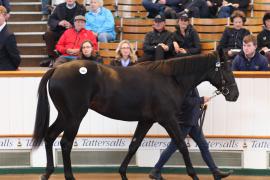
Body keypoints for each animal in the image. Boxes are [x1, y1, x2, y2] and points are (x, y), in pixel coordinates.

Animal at [31, 51, 238, 180]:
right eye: (226, 69)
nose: (235, 95)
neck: (170, 79)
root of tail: (57, 69)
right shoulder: (167, 119)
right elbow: (181, 145)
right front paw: (193, 174)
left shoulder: (146, 120)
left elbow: (134, 145)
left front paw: (122, 173)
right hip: (74, 117)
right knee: (65, 143)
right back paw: (68, 176)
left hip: (65, 115)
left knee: (49, 136)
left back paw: (47, 173)